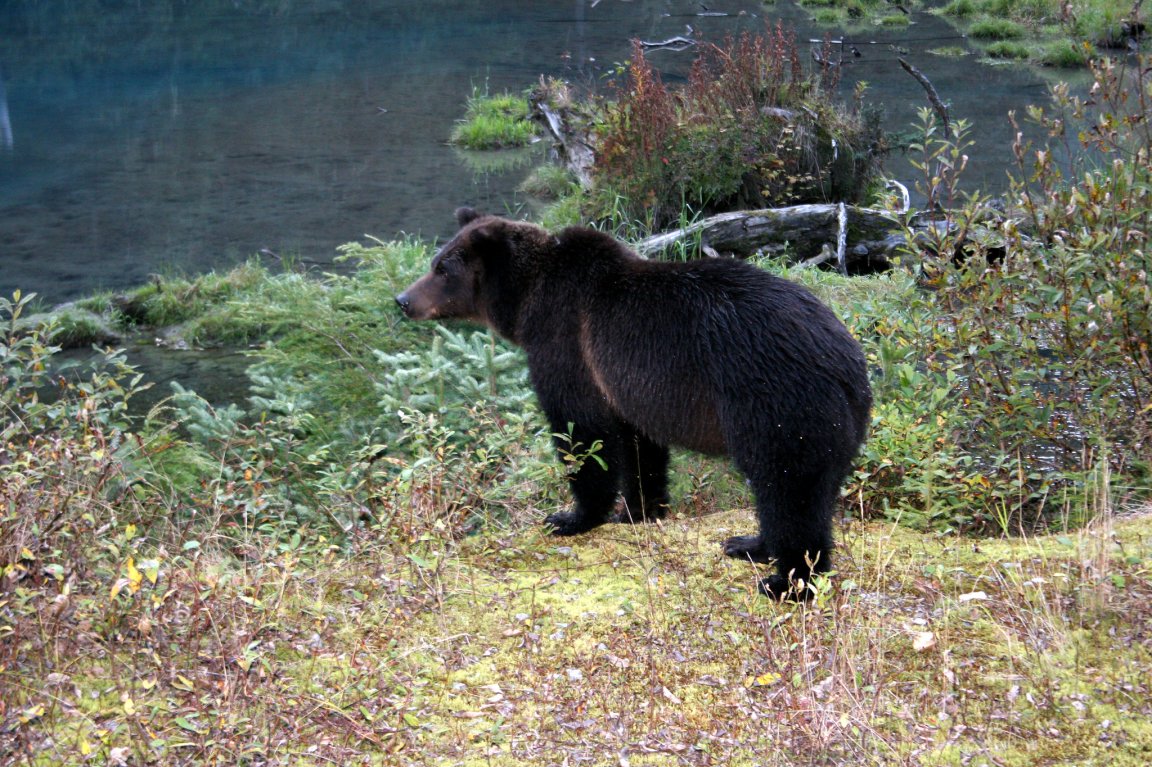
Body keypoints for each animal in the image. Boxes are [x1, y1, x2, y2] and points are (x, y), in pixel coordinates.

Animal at [396, 208, 872, 599]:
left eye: (442, 268)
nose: (403, 300)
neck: (529, 300)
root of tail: (848, 362)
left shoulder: (567, 344)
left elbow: (582, 432)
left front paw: (570, 517)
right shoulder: (627, 384)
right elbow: (639, 445)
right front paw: (638, 511)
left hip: (776, 404)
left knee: (787, 488)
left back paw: (786, 582)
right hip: (832, 424)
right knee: (810, 488)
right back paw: (749, 544)